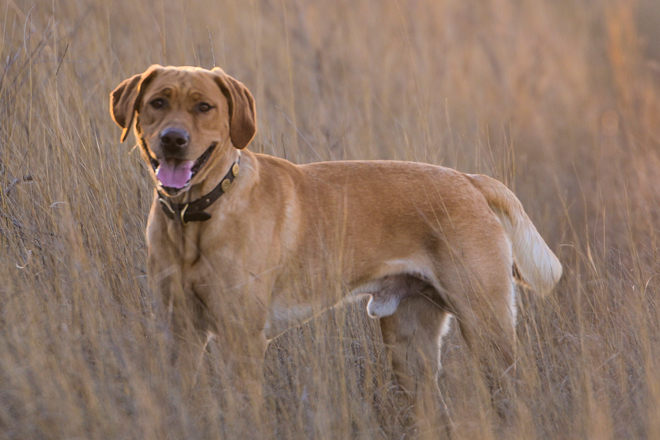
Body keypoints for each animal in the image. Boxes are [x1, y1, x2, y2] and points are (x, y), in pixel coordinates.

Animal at [109, 65, 564, 426]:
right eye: (158, 102)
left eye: (204, 107)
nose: (173, 139)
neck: (195, 219)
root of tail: (470, 180)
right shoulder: (180, 332)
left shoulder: (241, 337)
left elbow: (245, 407)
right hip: (409, 347)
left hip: (486, 327)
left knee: (513, 393)